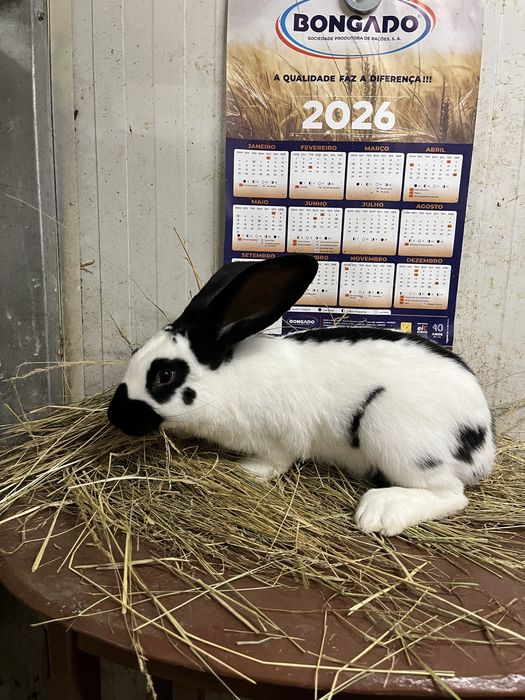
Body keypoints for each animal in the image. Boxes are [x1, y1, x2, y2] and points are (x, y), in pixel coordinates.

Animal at [108, 254, 495, 536]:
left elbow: (276, 463)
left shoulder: (278, 439)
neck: (225, 381)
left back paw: (379, 511)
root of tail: (484, 441)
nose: (115, 417)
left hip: (398, 437)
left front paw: (245, 471)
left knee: (449, 495)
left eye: (164, 375)